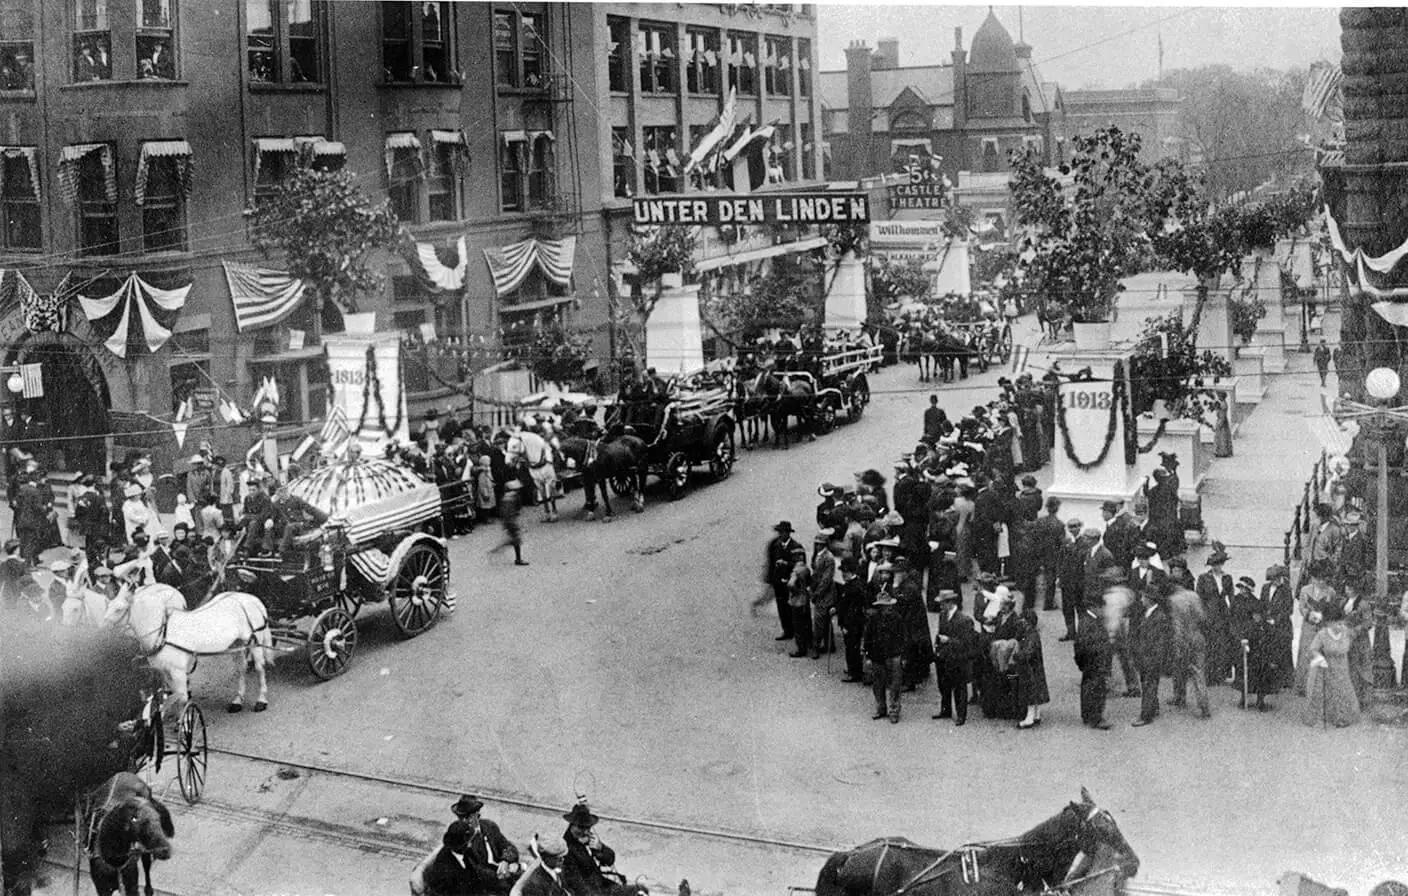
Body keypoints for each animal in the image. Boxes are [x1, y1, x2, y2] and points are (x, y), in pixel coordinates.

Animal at [105, 583, 275, 718]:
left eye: (119, 609)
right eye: (109, 605)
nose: (102, 627)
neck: (164, 632)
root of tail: (252, 599)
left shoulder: (178, 671)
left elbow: (182, 699)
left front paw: (185, 722)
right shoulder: (166, 672)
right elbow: (173, 696)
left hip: (255, 644)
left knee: (259, 668)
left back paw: (261, 701)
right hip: (237, 644)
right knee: (241, 669)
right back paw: (237, 702)